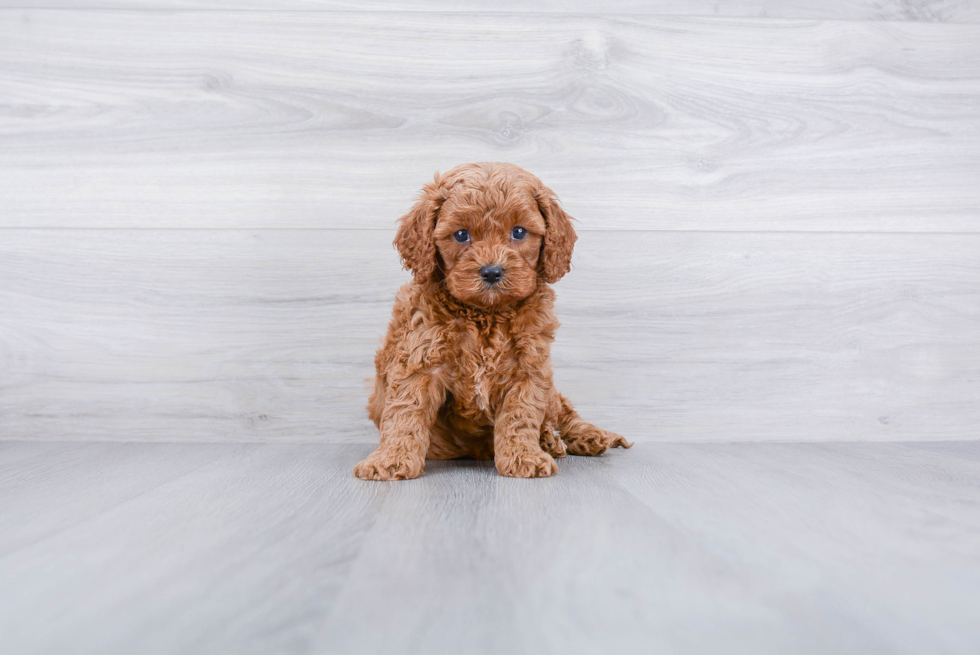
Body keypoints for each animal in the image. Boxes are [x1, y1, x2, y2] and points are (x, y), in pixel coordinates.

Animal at [356, 163, 632, 482]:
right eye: (461, 234)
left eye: (519, 232)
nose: (491, 272)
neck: (485, 314)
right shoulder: (421, 360)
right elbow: (405, 412)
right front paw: (391, 459)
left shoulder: (528, 366)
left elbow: (520, 414)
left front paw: (524, 456)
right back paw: (550, 440)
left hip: (551, 392)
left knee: (563, 410)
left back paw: (585, 436)